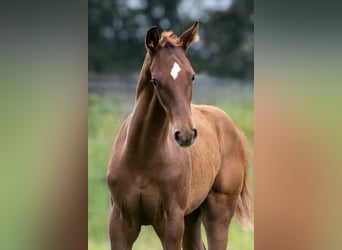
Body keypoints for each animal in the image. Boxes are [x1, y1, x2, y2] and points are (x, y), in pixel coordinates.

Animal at [107, 22, 254, 250]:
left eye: (192, 75)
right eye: (155, 80)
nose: (185, 134)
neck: (142, 158)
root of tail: (233, 128)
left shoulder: (171, 224)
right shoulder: (120, 224)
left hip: (218, 211)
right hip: (192, 215)